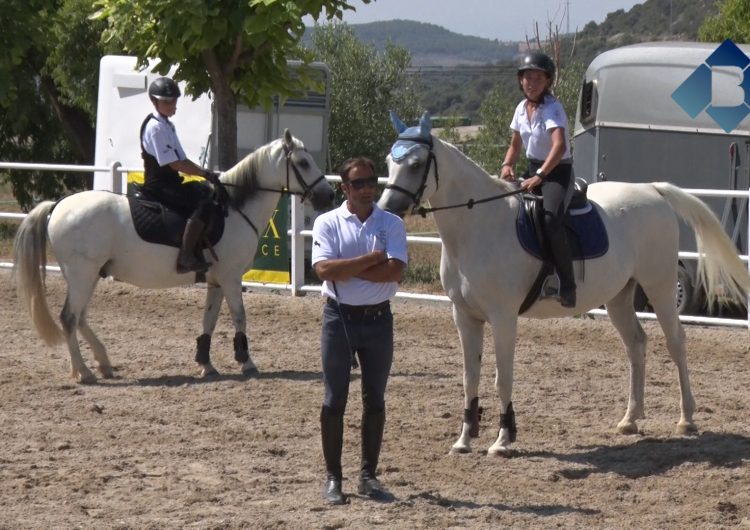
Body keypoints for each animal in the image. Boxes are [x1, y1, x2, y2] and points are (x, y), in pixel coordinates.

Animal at [11, 130, 334, 382]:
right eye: (303, 163)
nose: (328, 195)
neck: (233, 209)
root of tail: (58, 206)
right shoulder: (231, 278)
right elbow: (239, 316)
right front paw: (247, 362)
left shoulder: (216, 280)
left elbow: (209, 320)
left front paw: (206, 364)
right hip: (82, 275)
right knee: (69, 318)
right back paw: (85, 371)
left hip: (89, 276)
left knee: (79, 318)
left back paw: (103, 363)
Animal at [382, 113, 750, 456]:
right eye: (389, 161)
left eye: (416, 164)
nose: (388, 209)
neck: (478, 226)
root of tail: (651, 189)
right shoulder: (464, 316)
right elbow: (469, 377)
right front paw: (463, 440)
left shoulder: (503, 318)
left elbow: (503, 378)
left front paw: (502, 440)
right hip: (619, 296)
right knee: (636, 345)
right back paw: (630, 419)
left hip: (660, 286)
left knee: (676, 343)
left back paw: (686, 419)